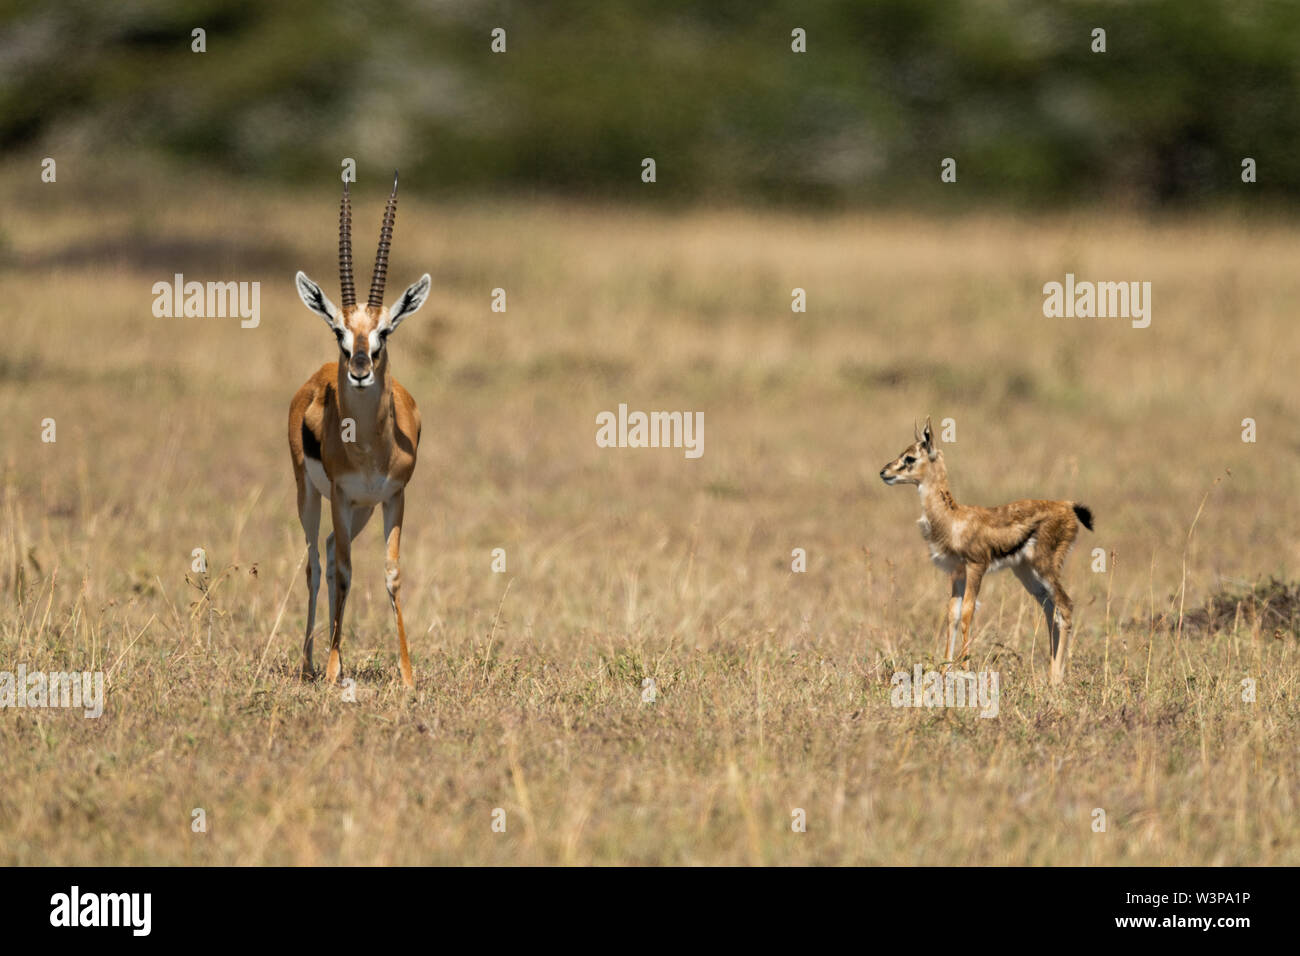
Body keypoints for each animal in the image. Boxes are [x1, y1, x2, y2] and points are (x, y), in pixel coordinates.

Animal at [288, 173, 431, 688]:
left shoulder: (393, 496)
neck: (370, 448)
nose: (360, 370)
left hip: (361, 511)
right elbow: (347, 571)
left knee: (331, 552)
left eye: (385, 331)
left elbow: (391, 574)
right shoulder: (340, 494)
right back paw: (312, 662)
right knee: (317, 562)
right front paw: (332, 671)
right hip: (311, 498)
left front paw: (408, 676)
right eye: (338, 330)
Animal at [879, 418, 1093, 684]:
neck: (953, 519)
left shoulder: (976, 566)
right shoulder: (957, 572)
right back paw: (1050, 675)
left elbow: (968, 611)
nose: (884, 472)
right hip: (1027, 573)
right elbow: (952, 614)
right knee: (1050, 610)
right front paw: (945, 670)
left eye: (909, 457)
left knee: (1065, 606)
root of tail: (1068, 506)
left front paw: (964, 668)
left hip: (1045, 567)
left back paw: (1055, 680)